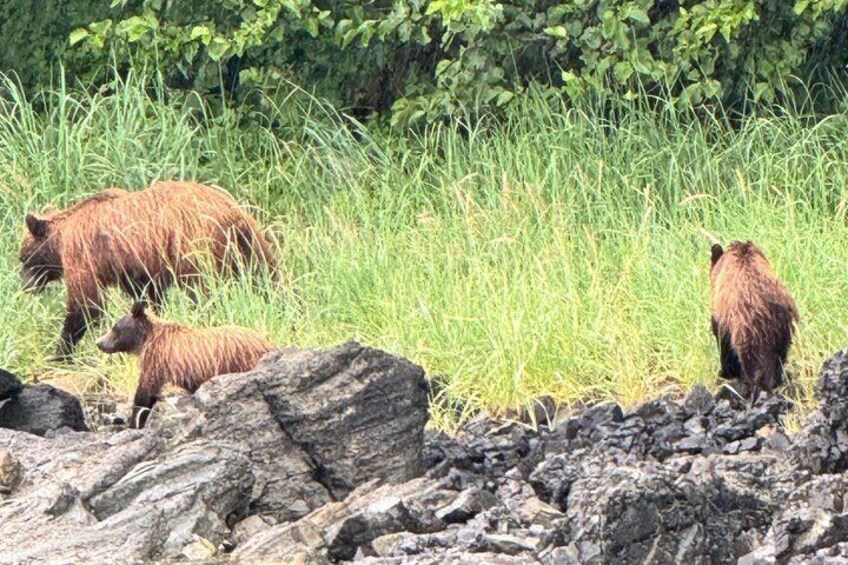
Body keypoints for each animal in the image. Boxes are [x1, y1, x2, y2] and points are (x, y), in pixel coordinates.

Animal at [19, 180, 277, 356]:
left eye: (23, 258)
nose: (24, 287)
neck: (60, 240)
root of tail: (232, 210)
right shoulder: (134, 265)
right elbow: (147, 294)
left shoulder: (82, 254)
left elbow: (86, 305)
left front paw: (60, 351)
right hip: (250, 243)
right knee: (266, 277)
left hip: (194, 244)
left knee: (202, 288)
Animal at [96, 301, 276, 428]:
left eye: (115, 327)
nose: (99, 343)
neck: (146, 339)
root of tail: (266, 342)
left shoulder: (156, 361)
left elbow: (145, 392)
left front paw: (135, 422)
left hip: (242, 359)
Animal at [709, 241, 799, 402]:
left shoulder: (723, 316)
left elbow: (723, 343)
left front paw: (725, 373)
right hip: (782, 327)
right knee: (778, 358)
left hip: (746, 329)